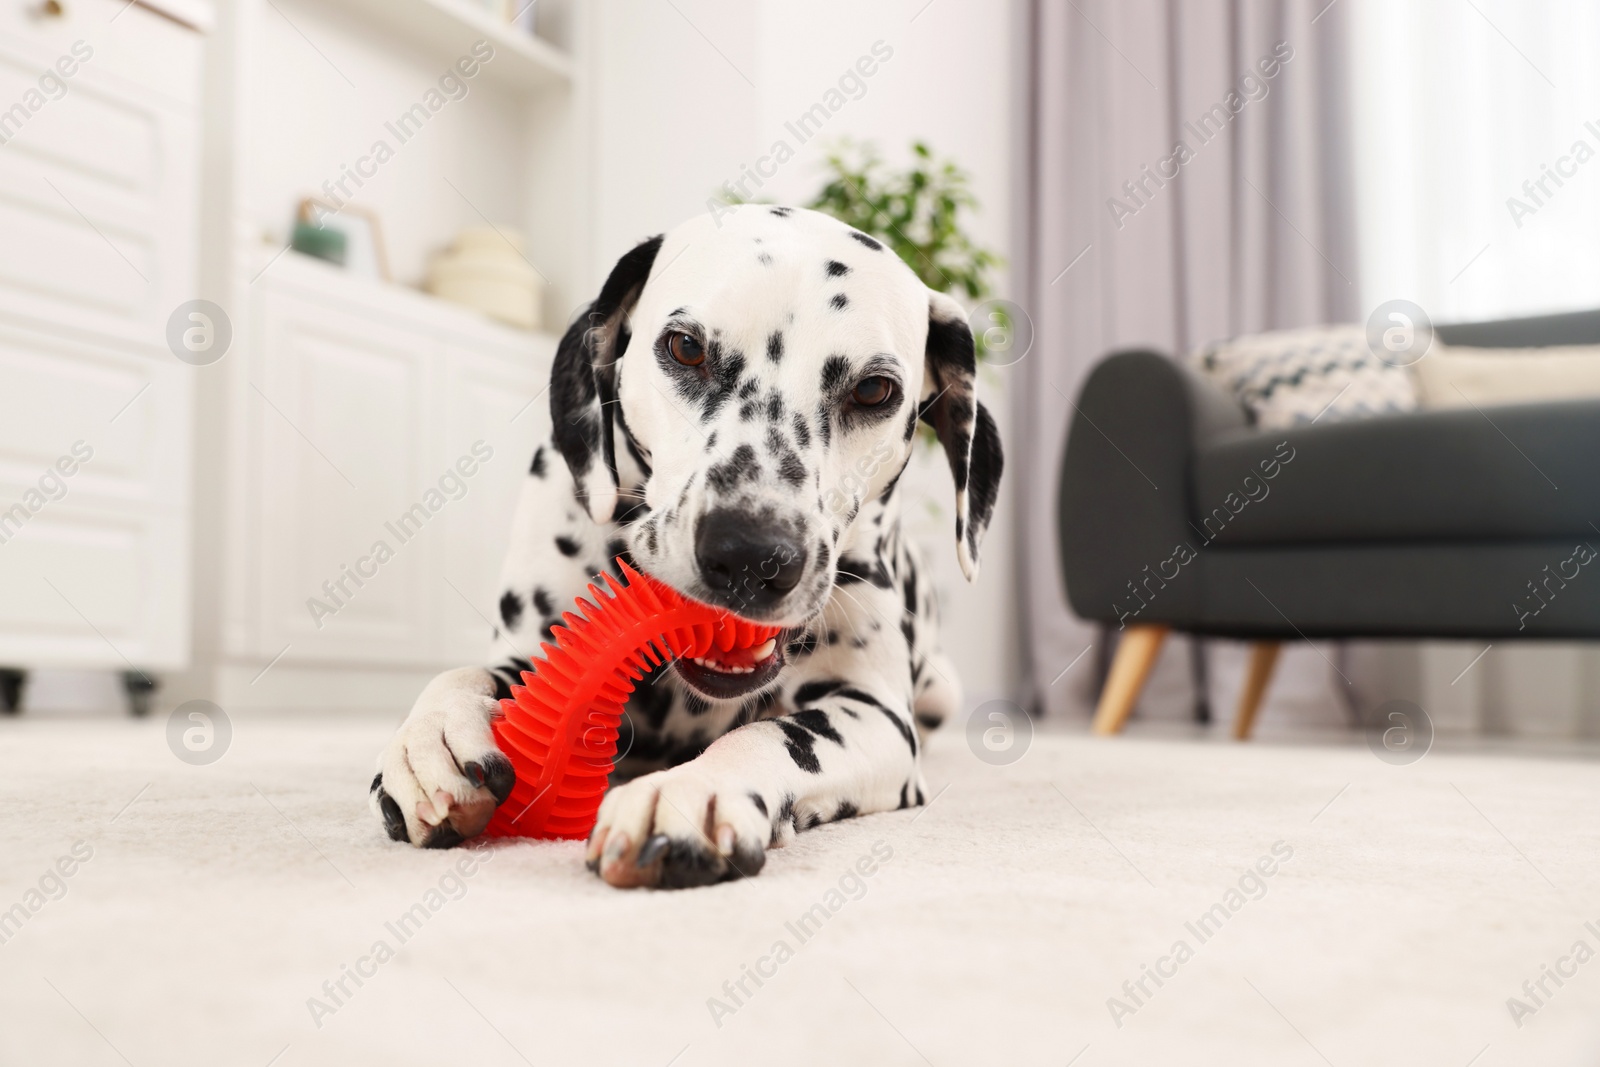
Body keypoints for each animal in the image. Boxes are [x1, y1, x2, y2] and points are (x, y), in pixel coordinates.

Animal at [372, 204, 998, 889]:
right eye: (687, 348)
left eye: (874, 391)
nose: (751, 556)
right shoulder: (533, 645)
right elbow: (471, 675)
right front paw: (435, 733)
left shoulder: (874, 712)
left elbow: (774, 736)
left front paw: (694, 789)